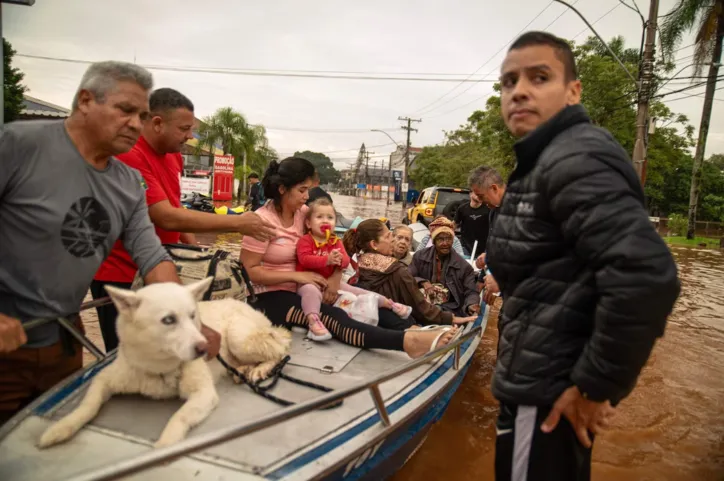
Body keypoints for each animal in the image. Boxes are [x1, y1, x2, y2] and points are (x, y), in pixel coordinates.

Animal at [37, 276, 292, 448]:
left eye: (193, 316)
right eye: (168, 320)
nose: (205, 347)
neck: (158, 367)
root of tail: (250, 306)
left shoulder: (204, 394)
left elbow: (178, 418)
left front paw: (162, 448)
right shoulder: (104, 379)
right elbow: (87, 406)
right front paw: (60, 428)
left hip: (239, 338)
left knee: (280, 350)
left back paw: (260, 369)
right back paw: (242, 369)